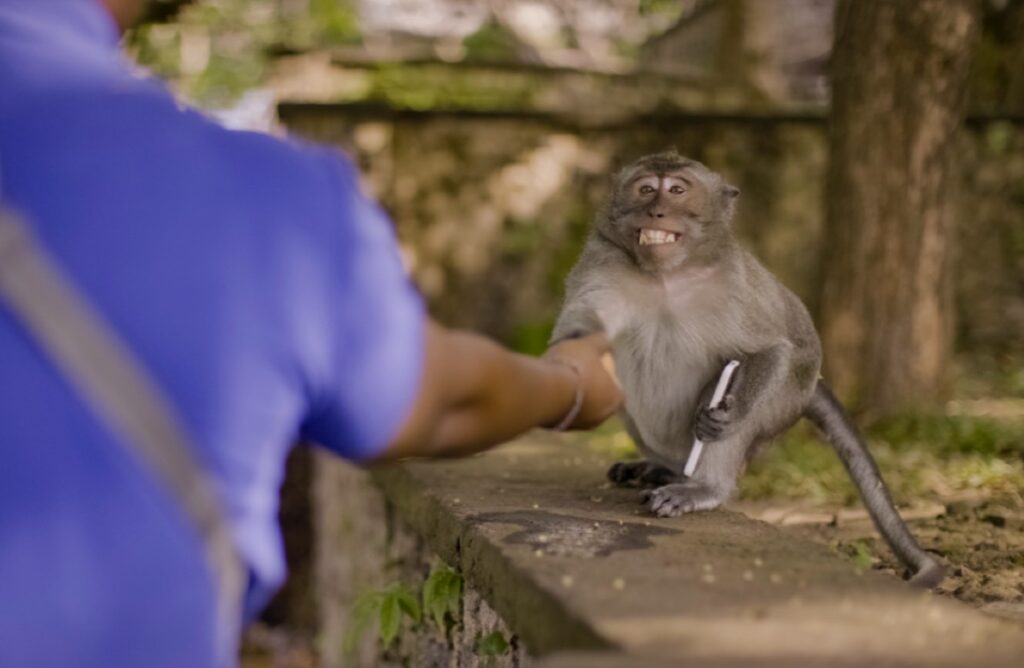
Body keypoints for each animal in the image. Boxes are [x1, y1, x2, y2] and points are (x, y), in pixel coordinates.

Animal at [551, 150, 943, 587]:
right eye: (646, 188)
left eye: (677, 190)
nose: (656, 210)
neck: (666, 276)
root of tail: (814, 387)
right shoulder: (601, 265)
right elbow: (581, 330)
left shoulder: (736, 284)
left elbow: (773, 349)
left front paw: (727, 413)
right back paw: (663, 468)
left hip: (785, 401)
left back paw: (704, 486)